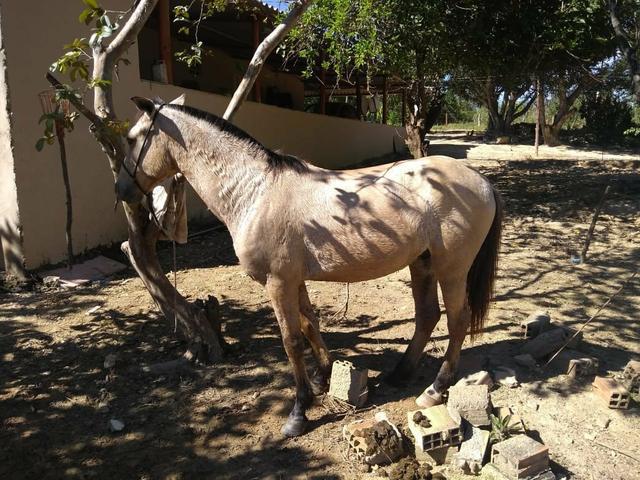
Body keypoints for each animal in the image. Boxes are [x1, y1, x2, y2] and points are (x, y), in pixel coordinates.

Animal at [117, 95, 502, 436]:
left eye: (133, 138)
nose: (122, 191)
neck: (255, 191)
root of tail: (480, 180)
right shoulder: (293, 280)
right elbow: (310, 325)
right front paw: (323, 377)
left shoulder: (277, 283)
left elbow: (291, 341)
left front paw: (298, 412)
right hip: (422, 263)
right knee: (427, 317)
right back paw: (400, 374)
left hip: (452, 269)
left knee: (457, 321)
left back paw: (435, 389)